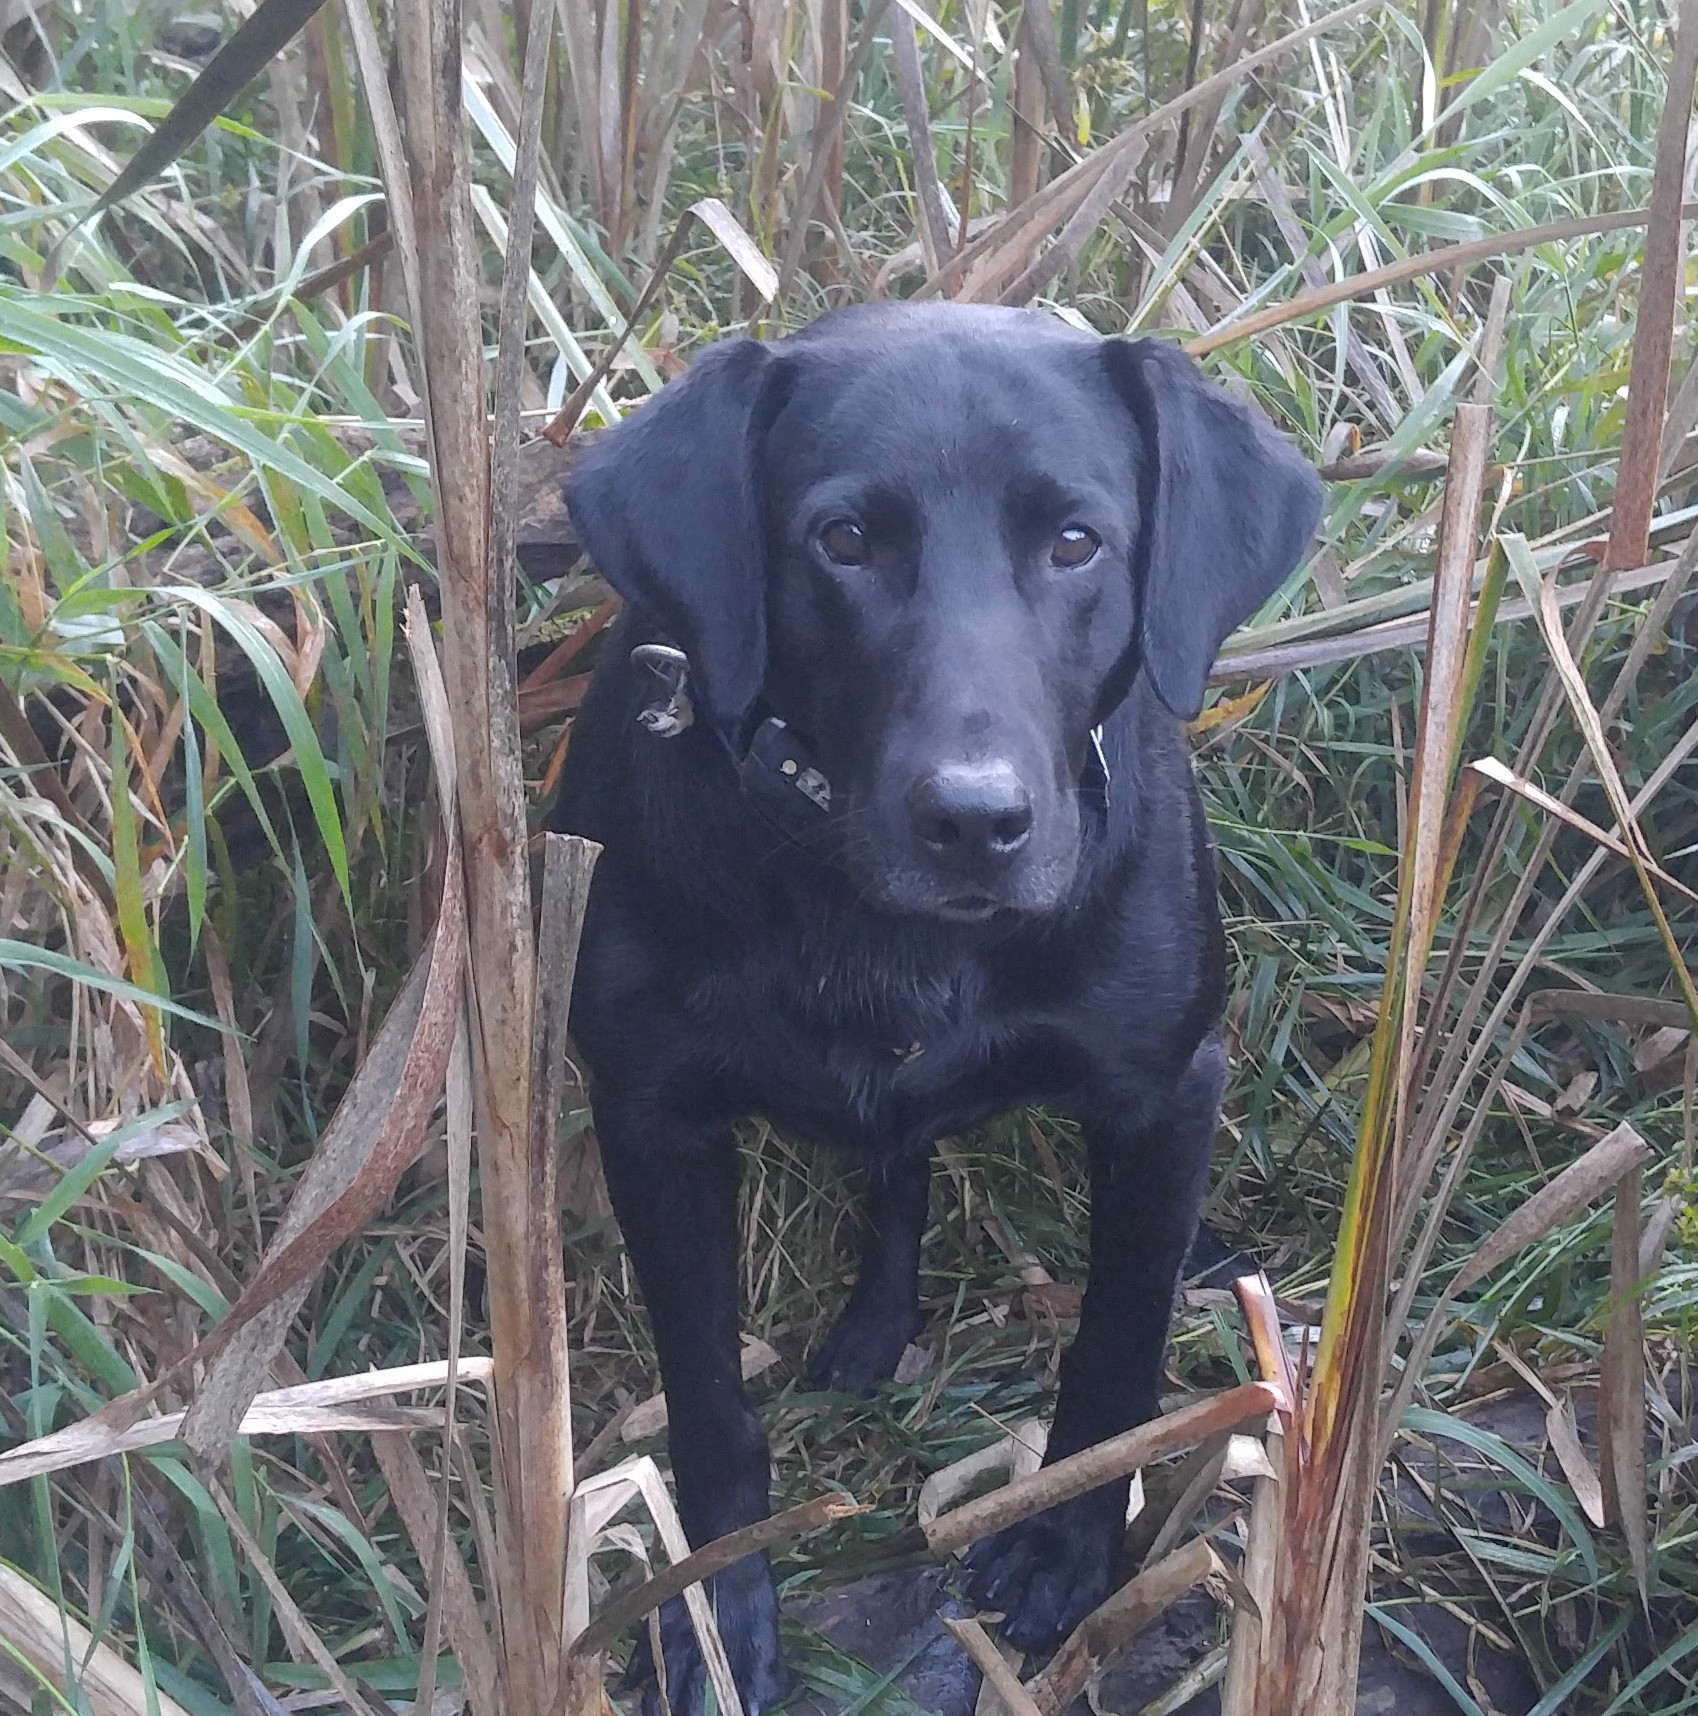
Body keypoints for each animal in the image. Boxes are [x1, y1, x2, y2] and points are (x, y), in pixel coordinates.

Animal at [559, 305, 1330, 1716]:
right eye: (843, 539)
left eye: (1076, 542)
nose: (975, 820)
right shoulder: (650, 1117)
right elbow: (706, 1397)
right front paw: (715, 1618)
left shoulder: (1160, 1088)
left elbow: (1117, 1342)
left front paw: (1071, 1547)